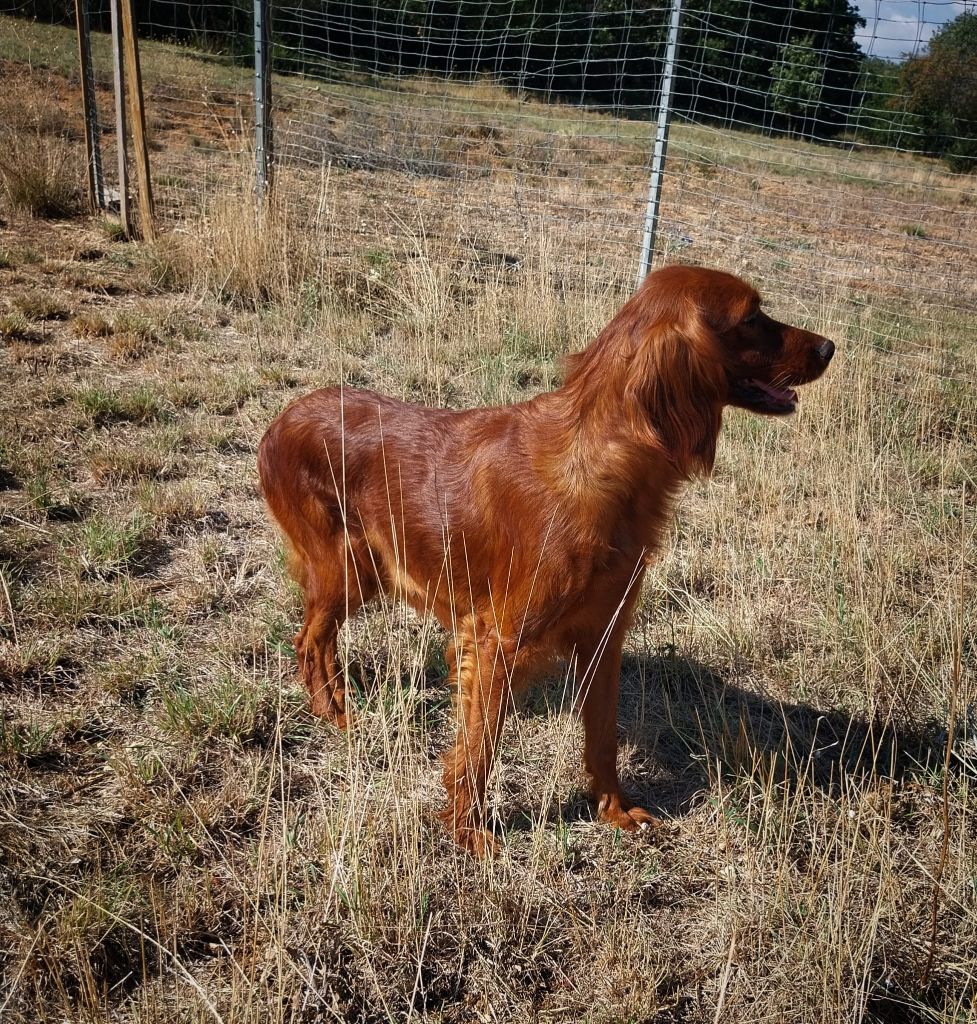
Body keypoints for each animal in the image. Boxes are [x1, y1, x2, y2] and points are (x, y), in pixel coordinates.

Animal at [257, 260, 831, 851]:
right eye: (752, 318)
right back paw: (334, 714)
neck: (601, 458)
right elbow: (480, 747)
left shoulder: (603, 635)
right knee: (308, 640)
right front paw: (469, 832)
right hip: (349, 567)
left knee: (319, 638)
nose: (830, 347)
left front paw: (614, 810)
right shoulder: (495, 643)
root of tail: (281, 419)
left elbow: (602, 736)